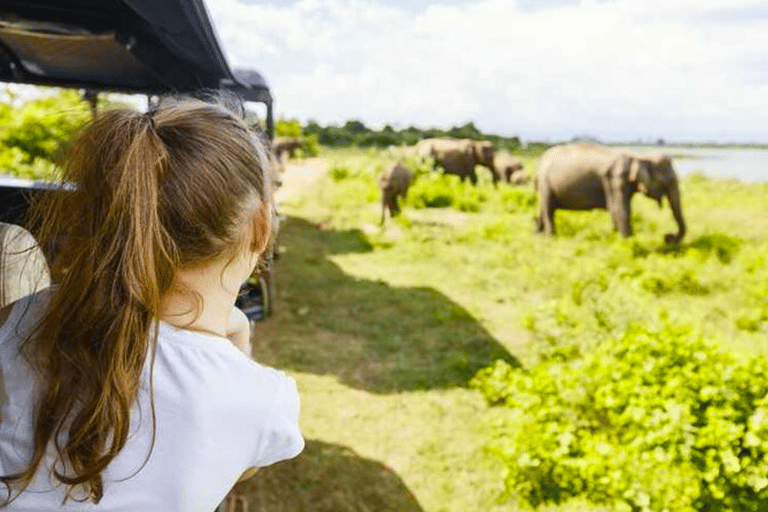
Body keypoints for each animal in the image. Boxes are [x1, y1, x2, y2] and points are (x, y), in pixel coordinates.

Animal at [536, 142, 688, 242]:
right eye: (668, 181)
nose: (667, 237)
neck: (637, 156)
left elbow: (621, 210)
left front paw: (615, 237)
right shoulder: (614, 179)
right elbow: (619, 209)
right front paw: (628, 242)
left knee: (545, 208)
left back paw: (537, 232)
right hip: (545, 182)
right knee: (548, 209)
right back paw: (551, 238)